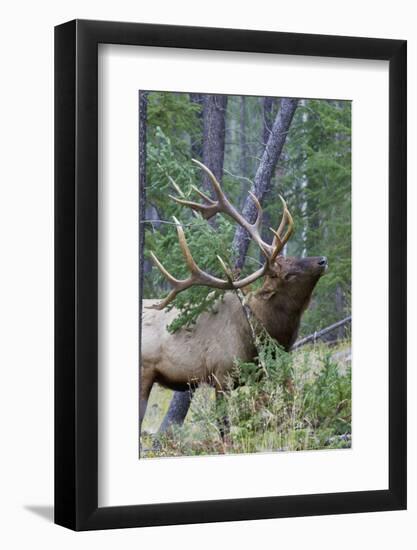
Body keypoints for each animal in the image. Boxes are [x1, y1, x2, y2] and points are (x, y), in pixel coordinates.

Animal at [141, 162, 326, 434]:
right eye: (288, 274)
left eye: (293, 257)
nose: (322, 260)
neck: (262, 334)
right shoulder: (222, 375)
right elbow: (224, 428)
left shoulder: (260, 375)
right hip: (144, 371)